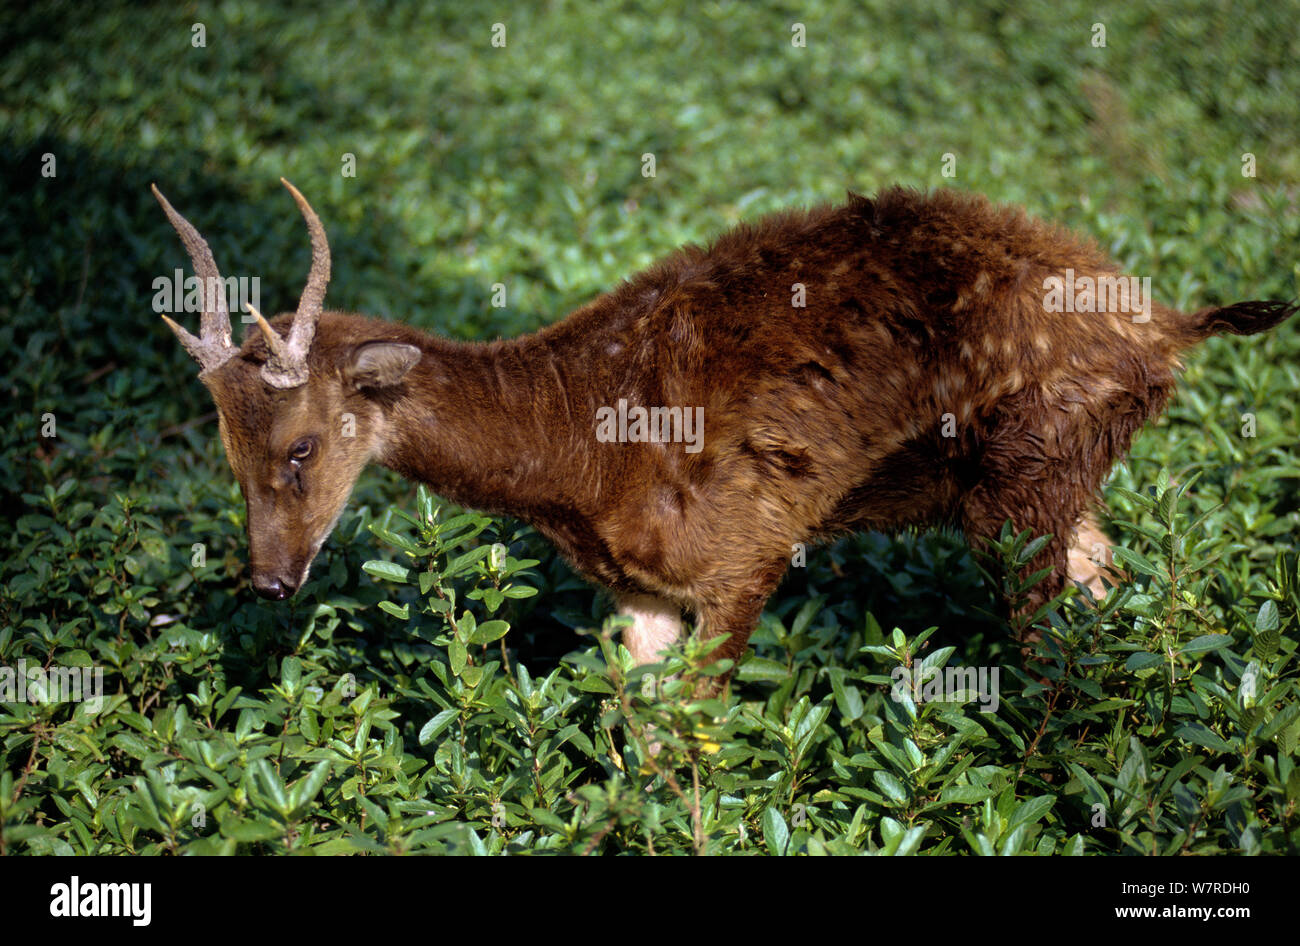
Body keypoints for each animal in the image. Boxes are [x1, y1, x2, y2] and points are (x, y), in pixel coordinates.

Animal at [152, 179, 1289, 696]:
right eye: (227, 451)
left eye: (301, 447)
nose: (270, 581)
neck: (577, 456)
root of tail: (1171, 326)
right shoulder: (643, 594)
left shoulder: (748, 551)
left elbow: (696, 746)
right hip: (1062, 478)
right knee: (1117, 588)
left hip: (1026, 480)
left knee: (1061, 644)